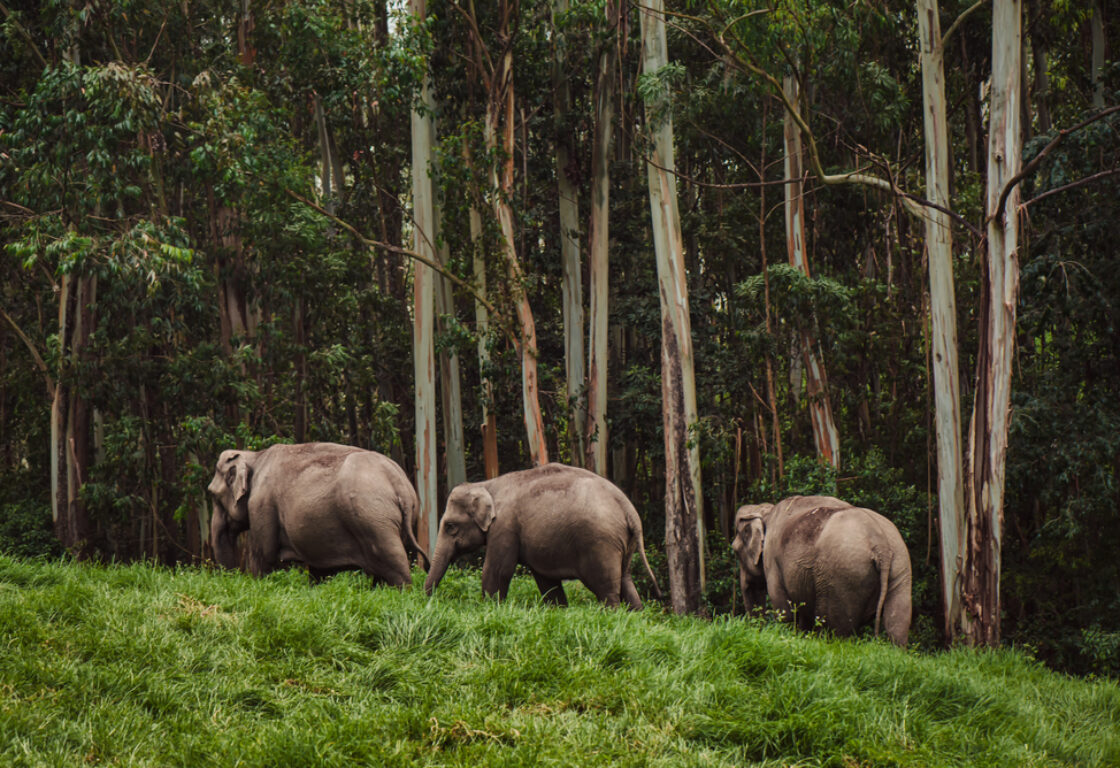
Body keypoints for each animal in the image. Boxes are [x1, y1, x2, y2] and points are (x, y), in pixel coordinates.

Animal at [207, 442, 428, 586]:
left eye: (212, 495)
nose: (231, 579)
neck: (256, 456)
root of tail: (399, 483)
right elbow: (319, 570)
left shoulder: (262, 506)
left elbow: (263, 558)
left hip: (373, 519)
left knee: (393, 564)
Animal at [423, 463, 662, 609]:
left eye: (450, 526)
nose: (428, 600)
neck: (487, 484)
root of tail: (628, 508)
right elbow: (546, 580)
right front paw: (558, 610)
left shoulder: (504, 527)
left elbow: (498, 570)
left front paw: (489, 608)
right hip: (624, 543)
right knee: (626, 581)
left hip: (601, 544)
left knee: (606, 588)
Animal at [731, 495, 912, 646]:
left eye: (734, 550)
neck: (766, 511)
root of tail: (881, 545)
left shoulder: (772, 561)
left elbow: (784, 610)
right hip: (900, 565)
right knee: (897, 622)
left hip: (843, 575)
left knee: (835, 627)